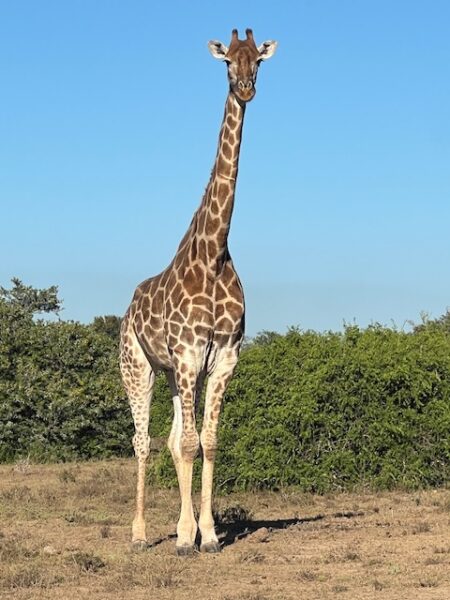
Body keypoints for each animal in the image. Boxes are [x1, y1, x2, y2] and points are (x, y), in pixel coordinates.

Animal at [120, 28, 277, 555]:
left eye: (258, 61)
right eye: (227, 61)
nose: (246, 89)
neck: (213, 255)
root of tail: (128, 308)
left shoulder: (222, 357)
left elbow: (207, 441)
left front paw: (204, 533)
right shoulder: (189, 355)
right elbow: (189, 442)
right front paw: (189, 539)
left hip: (172, 374)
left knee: (170, 439)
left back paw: (180, 527)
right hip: (140, 367)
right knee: (143, 441)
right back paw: (140, 533)